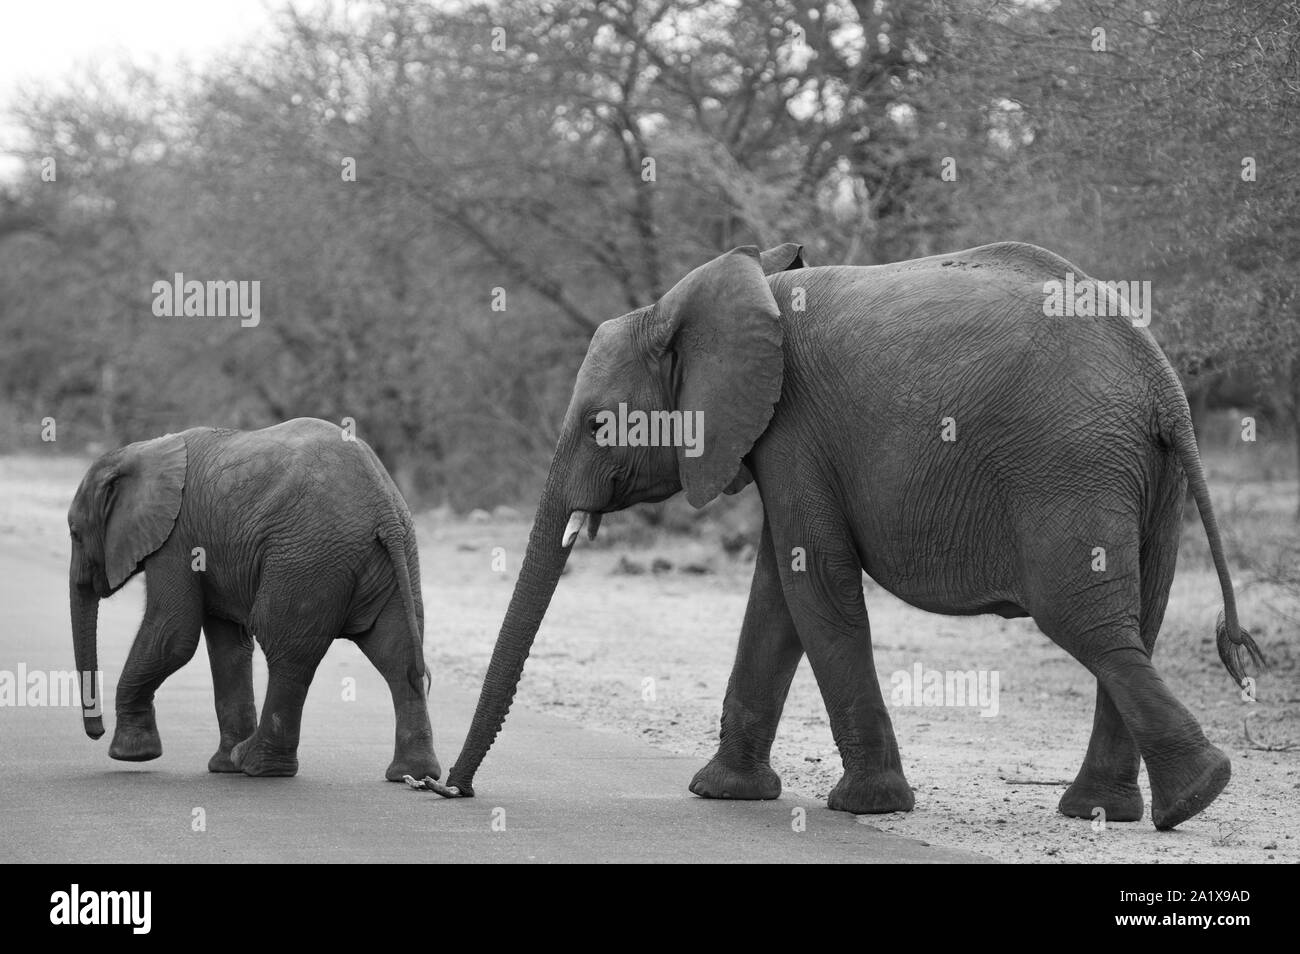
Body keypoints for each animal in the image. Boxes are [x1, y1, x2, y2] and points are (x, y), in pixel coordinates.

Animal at [68, 418, 439, 785]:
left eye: (74, 532)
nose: (97, 732)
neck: (144, 451)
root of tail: (384, 508)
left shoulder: (177, 539)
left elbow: (172, 634)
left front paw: (131, 754)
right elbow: (228, 646)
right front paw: (221, 767)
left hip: (306, 558)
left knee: (286, 649)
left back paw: (257, 765)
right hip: (393, 558)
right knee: (397, 653)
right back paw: (411, 774)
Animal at [434, 243, 1258, 831]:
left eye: (600, 424)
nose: (449, 788)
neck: (722, 288)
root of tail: (1160, 382)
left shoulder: (794, 426)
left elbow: (814, 583)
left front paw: (867, 807)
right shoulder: (781, 439)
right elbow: (776, 592)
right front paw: (723, 793)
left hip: (1069, 465)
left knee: (1087, 621)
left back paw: (1193, 797)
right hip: (1142, 476)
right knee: (1139, 618)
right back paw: (1114, 810)